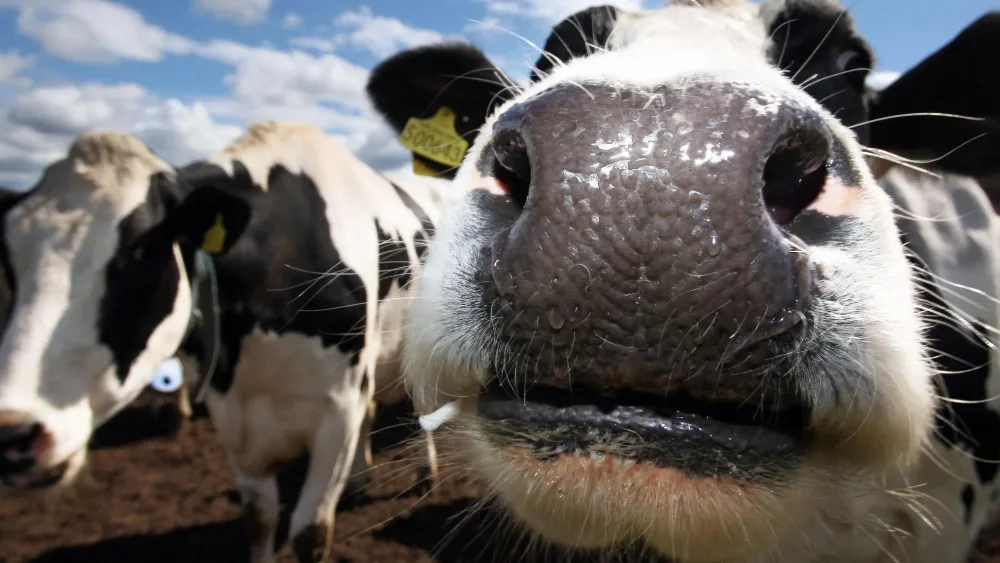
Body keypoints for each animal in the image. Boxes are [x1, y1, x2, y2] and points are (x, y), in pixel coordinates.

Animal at [0, 121, 445, 563]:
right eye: (10, 263)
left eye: (140, 251)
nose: (14, 433)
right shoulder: (233, 413)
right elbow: (259, 518)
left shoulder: (338, 409)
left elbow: (309, 533)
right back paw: (359, 480)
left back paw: (426, 475)